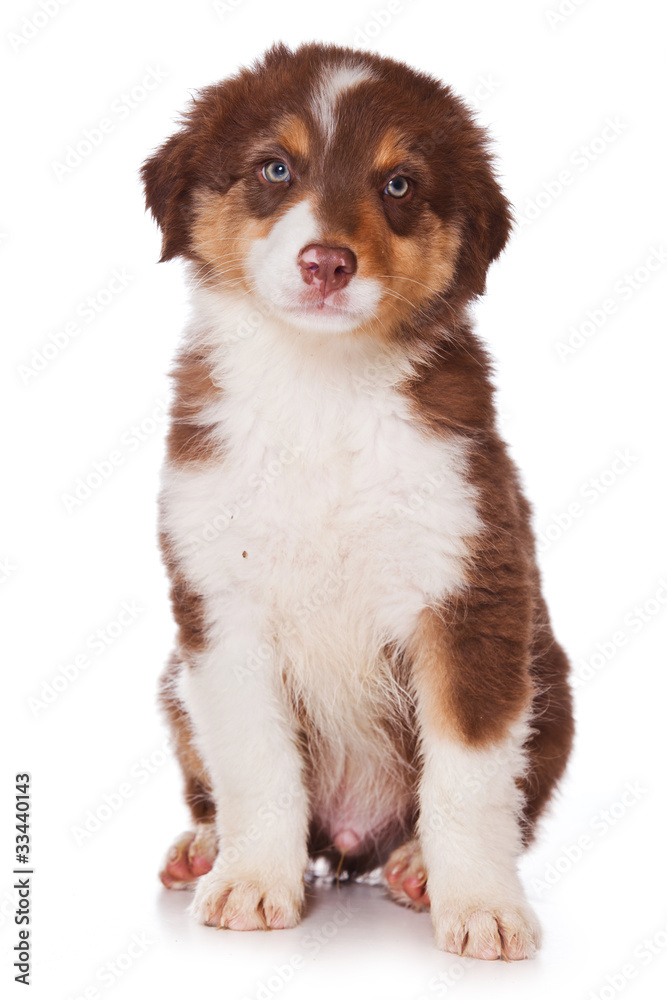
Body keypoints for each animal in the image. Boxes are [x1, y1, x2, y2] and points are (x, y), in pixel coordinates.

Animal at [144, 41, 576, 960]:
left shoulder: (470, 594)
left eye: (399, 185)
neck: (322, 391)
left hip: (549, 681)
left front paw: (482, 907)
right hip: (173, 676)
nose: (327, 263)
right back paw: (202, 848)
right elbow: (256, 763)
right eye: (275, 168)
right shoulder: (221, 607)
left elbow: (468, 775)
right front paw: (250, 884)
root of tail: (349, 843)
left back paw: (414, 868)